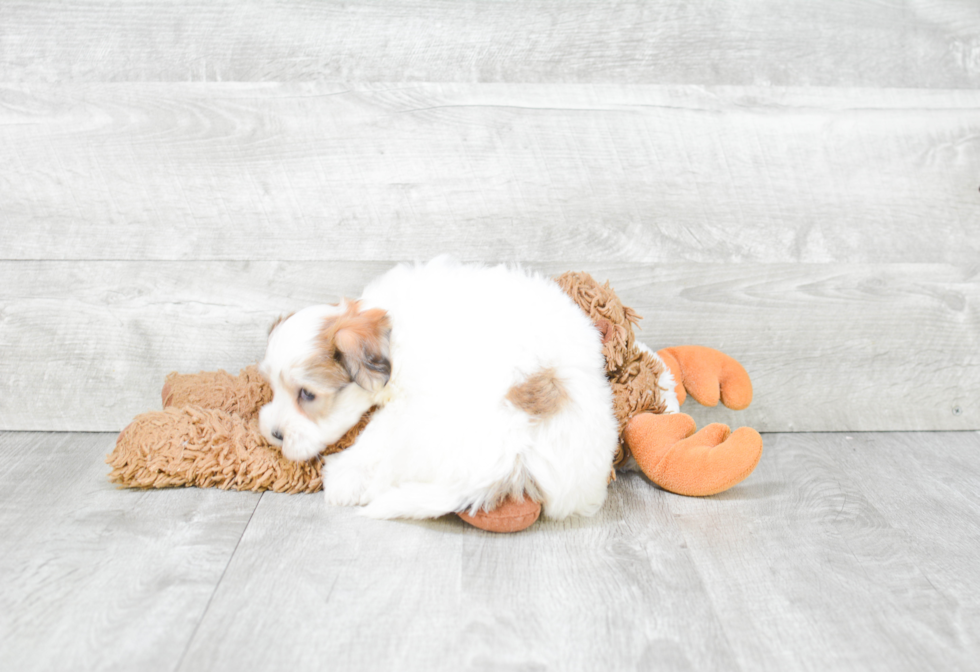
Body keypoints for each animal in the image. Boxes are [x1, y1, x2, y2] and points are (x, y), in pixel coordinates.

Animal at [256, 258, 616, 520]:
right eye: (272, 386)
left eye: (307, 395)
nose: (273, 434)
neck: (393, 336)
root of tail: (512, 463)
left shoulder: (403, 401)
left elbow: (374, 437)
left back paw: (345, 477)